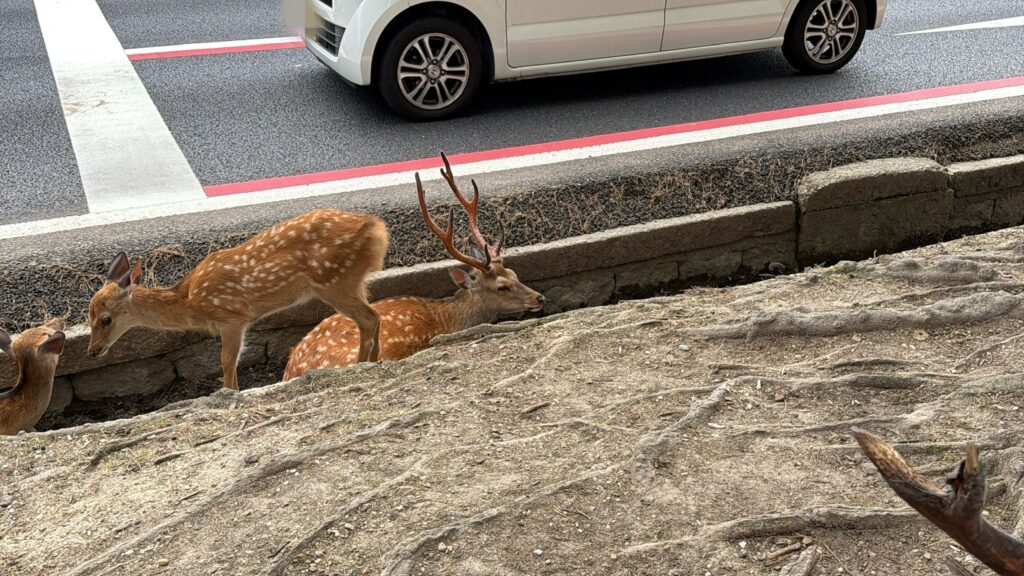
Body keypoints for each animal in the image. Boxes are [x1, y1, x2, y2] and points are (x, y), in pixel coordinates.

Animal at [88, 209, 389, 391]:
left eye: (106, 319)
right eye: (88, 315)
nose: (92, 351)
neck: (190, 303)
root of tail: (376, 228)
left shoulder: (231, 318)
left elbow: (226, 363)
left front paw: (230, 392)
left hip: (334, 282)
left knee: (367, 318)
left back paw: (361, 364)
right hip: (352, 282)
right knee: (375, 315)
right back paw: (376, 361)